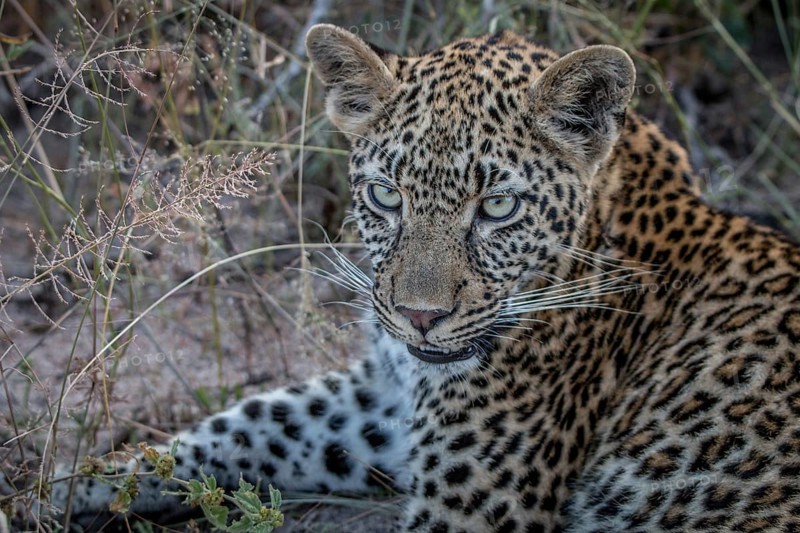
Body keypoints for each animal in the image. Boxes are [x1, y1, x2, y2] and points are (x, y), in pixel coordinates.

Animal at [46, 24, 800, 532]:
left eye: (496, 206)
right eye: (387, 196)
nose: (420, 317)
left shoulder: (470, 507)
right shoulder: (382, 399)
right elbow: (259, 419)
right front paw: (72, 484)